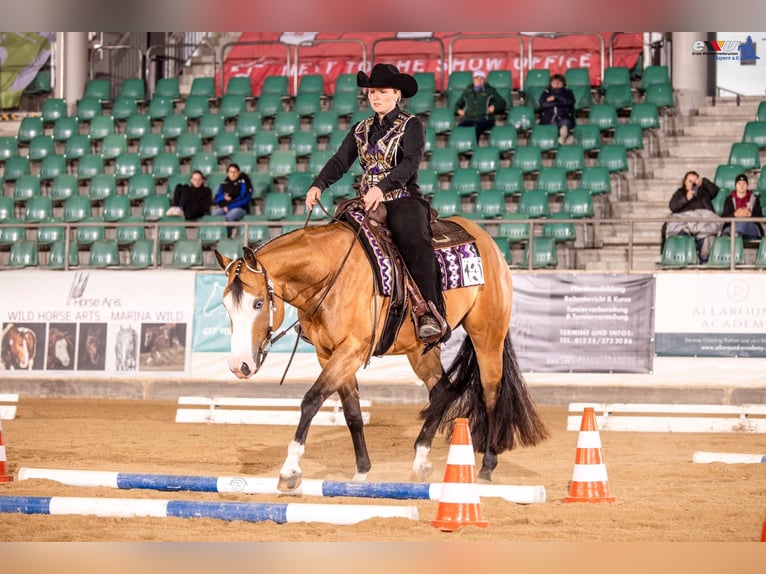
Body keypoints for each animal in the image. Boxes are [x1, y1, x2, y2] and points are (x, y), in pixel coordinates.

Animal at [214, 215, 549, 491]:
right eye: (225, 306)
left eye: (258, 303)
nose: (239, 365)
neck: (332, 272)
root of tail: (486, 240)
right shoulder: (330, 354)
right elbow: (352, 413)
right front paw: (362, 472)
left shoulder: (351, 350)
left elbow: (311, 400)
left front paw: (289, 471)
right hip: (421, 349)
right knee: (442, 390)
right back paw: (421, 460)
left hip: (487, 335)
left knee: (491, 393)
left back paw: (487, 467)